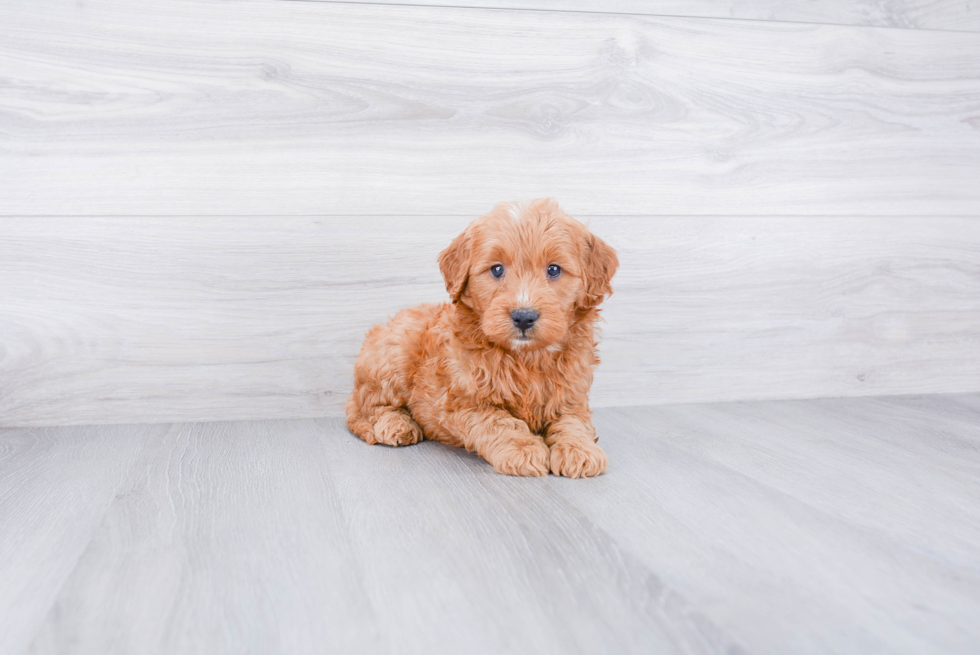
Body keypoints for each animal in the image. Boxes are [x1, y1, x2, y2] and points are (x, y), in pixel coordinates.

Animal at [348, 197, 616, 480]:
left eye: (554, 270)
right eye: (496, 269)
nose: (524, 317)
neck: (527, 359)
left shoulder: (571, 396)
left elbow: (574, 422)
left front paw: (580, 450)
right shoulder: (462, 401)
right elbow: (498, 421)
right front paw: (523, 449)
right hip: (395, 352)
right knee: (361, 409)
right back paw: (396, 424)